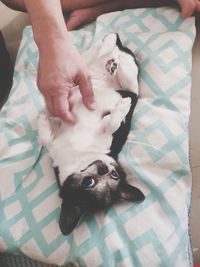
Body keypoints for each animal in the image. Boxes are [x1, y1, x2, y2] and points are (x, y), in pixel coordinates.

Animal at [37, 33, 145, 237]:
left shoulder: (107, 136)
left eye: (114, 175)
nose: (103, 168)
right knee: (96, 55)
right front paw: (44, 121)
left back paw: (113, 59)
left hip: (127, 83)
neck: (81, 157)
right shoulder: (56, 148)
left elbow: (111, 124)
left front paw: (121, 109)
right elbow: (47, 139)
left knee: (130, 83)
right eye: (89, 182)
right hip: (84, 69)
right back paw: (109, 52)